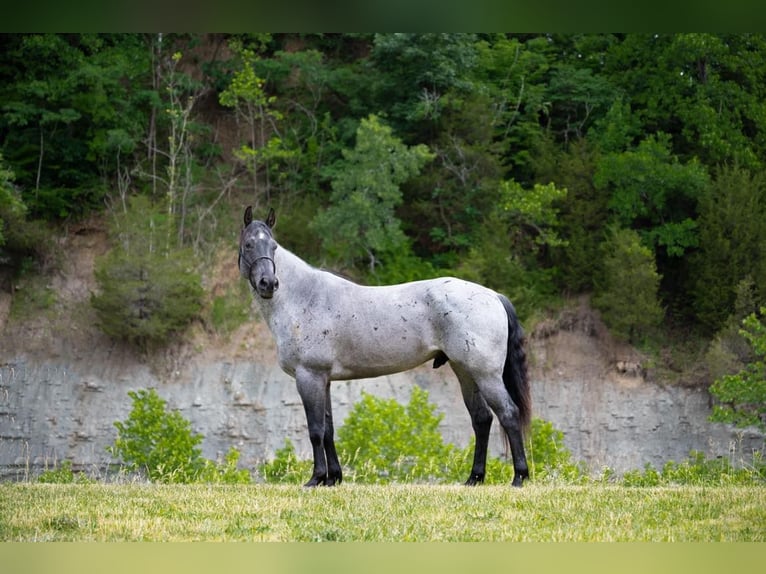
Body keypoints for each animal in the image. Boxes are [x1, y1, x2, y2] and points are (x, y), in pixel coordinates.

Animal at [240, 209, 536, 488]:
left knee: (508, 414)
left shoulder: (309, 376)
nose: (269, 284)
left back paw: (519, 477)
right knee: (481, 419)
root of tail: (494, 296)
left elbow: (315, 430)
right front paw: (333, 478)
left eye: (273, 246)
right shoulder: (323, 379)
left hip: (486, 375)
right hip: (464, 372)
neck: (304, 297)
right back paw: (474, 478)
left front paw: (316, 478)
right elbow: (328, 430)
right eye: (248, 244)